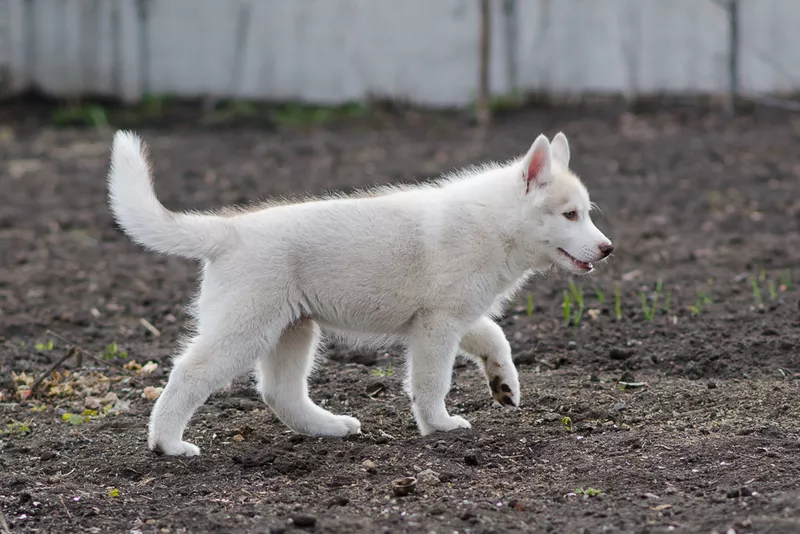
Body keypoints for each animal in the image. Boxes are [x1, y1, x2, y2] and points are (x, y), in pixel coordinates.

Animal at [108, 130, 612, 456]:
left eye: (586, 212)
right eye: (570, 215)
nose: (608, 249)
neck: (495, 222)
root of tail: (229, 231)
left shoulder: (453, 316)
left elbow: (494, 337)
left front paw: (504, 383)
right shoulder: (437, 325)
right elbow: (432, 382)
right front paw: (440, 427)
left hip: (293, 330)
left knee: (279, 393)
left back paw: (330, 428)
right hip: (245, 331)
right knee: (189, 374)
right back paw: (167, 444)